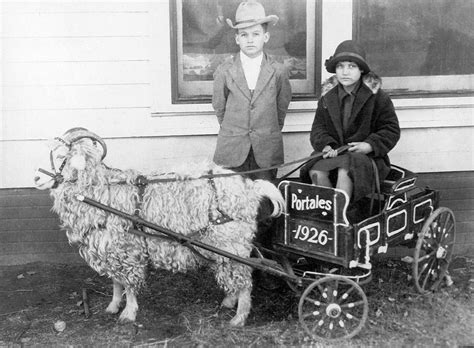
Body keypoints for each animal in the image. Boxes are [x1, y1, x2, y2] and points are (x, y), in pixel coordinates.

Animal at [35, 128, 286, 326]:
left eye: (62, 156)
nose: (37, 179)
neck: (101, 193)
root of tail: (251, 188)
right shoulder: (111, 249)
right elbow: (116, 282)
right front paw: (113, 306)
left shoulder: (128, 249)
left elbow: (129, 283)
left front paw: (128, 314)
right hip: (219, 244)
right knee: (232, 272)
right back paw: (229, 302)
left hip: (232, 242)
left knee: (244, 279)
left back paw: (239, 318)